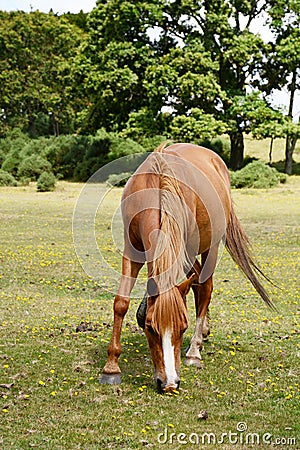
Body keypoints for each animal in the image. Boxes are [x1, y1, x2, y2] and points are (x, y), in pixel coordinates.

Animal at [100, 142, 272, 392]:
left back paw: (194, 350)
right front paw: (111, 366)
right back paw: (204, 332)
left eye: (183, 327)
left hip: (206, 248)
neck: (157, 188)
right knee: (198, 284)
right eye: (150, 328)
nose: (170, 383)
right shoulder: (131, 252)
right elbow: (121, 303)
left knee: (205, 286)